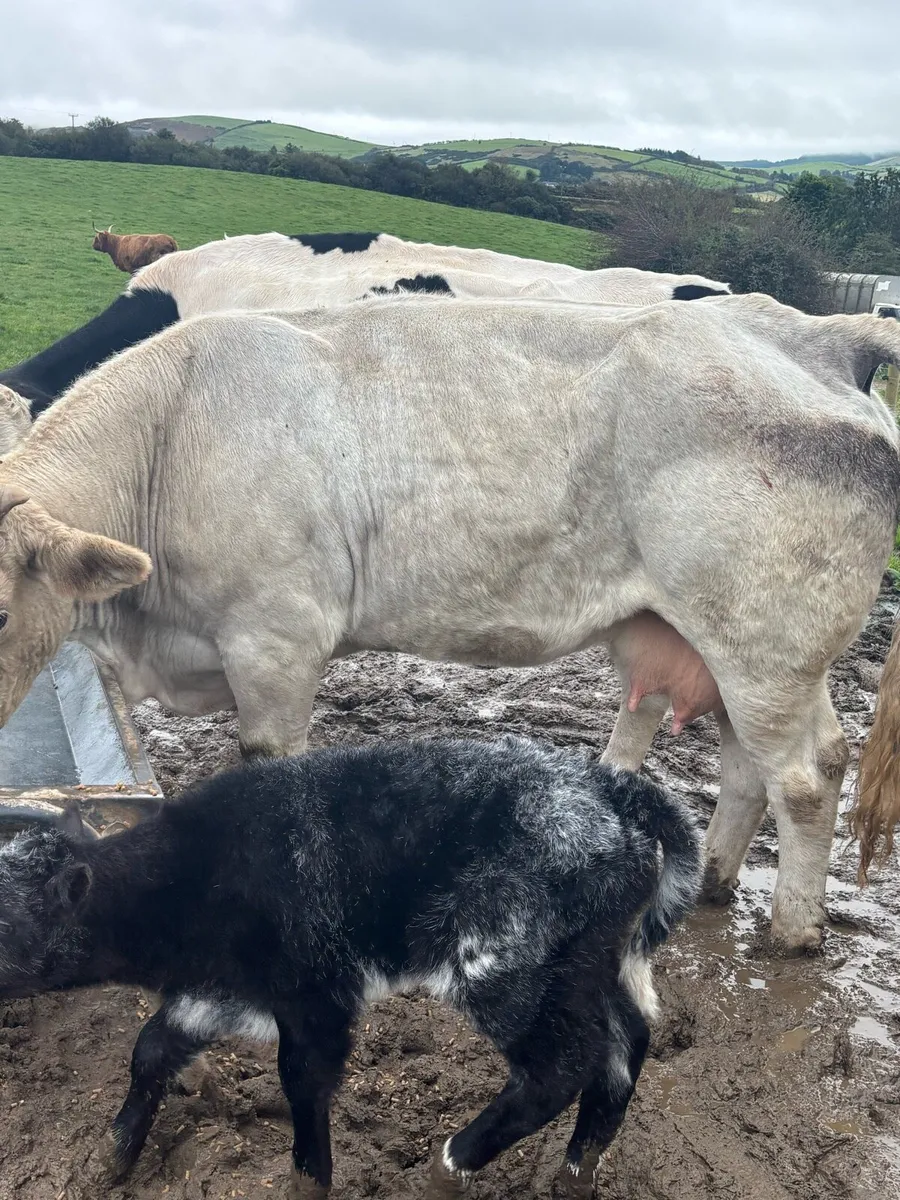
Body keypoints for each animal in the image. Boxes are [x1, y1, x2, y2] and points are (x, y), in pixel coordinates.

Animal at [0, 291, 896, 957]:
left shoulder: (275, 638)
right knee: (750, 766)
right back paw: (713, 882)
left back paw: (793, 932)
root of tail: (816, 333)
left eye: (3, 608)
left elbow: (269, 775)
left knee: (808, 774)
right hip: (731, 646)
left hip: (767, 645)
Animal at [0, 737, 702, 1197]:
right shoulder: (222, 990)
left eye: (5, 921)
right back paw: (575, 1172)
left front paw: (308, 1182)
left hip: (503, 964)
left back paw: (448, 1168)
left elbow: (303, 1080)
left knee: (561, 1066)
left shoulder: (315, 992)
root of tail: (609, 787)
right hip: (590, 960)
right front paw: (111, 1158)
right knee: (624, 1041)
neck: (197, 876)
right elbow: (150, 1048)